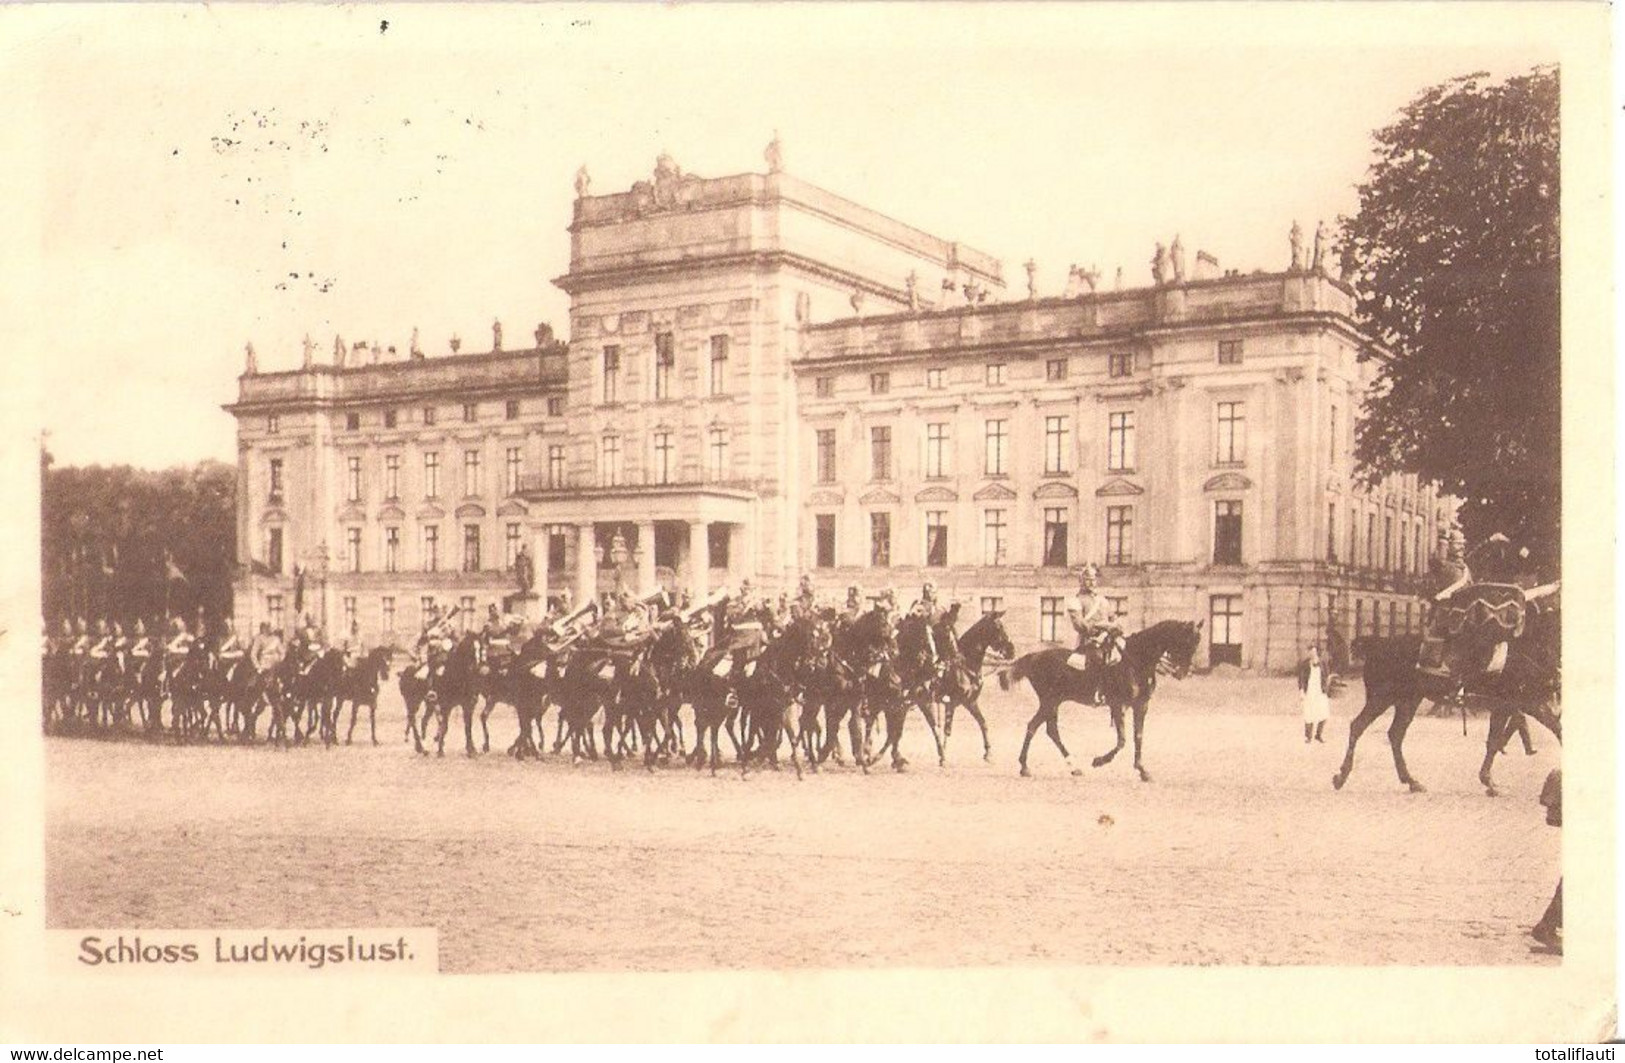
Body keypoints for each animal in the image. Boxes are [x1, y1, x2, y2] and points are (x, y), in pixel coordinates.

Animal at [1001, 617, 1209, 783]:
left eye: (1197, 642)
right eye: (1186, 641)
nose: (1184, 672)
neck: (1135, 661)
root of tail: (1034, 656)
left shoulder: (1141, 705)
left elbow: (1138, 737)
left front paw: (1142, 770)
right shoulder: (1118, 705)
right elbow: (1122, 740)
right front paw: (1100, 761)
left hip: (1054, 702)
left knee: (1048, 730)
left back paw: (1071, 767)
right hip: (1049, 701)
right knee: (1035, 726)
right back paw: (1026, 766)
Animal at [1332, 594, 1560, 796]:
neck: (1523, 652)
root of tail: (1377, 645)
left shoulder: (1532, 703)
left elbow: (1556, 728)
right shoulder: (1506, 706)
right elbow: (1494, 741)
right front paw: (1489, 782)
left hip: (1407, 701)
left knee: (1395, 735)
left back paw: (1411, 781)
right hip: (1381, 698)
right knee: (1358, 726)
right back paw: (1341, 776)